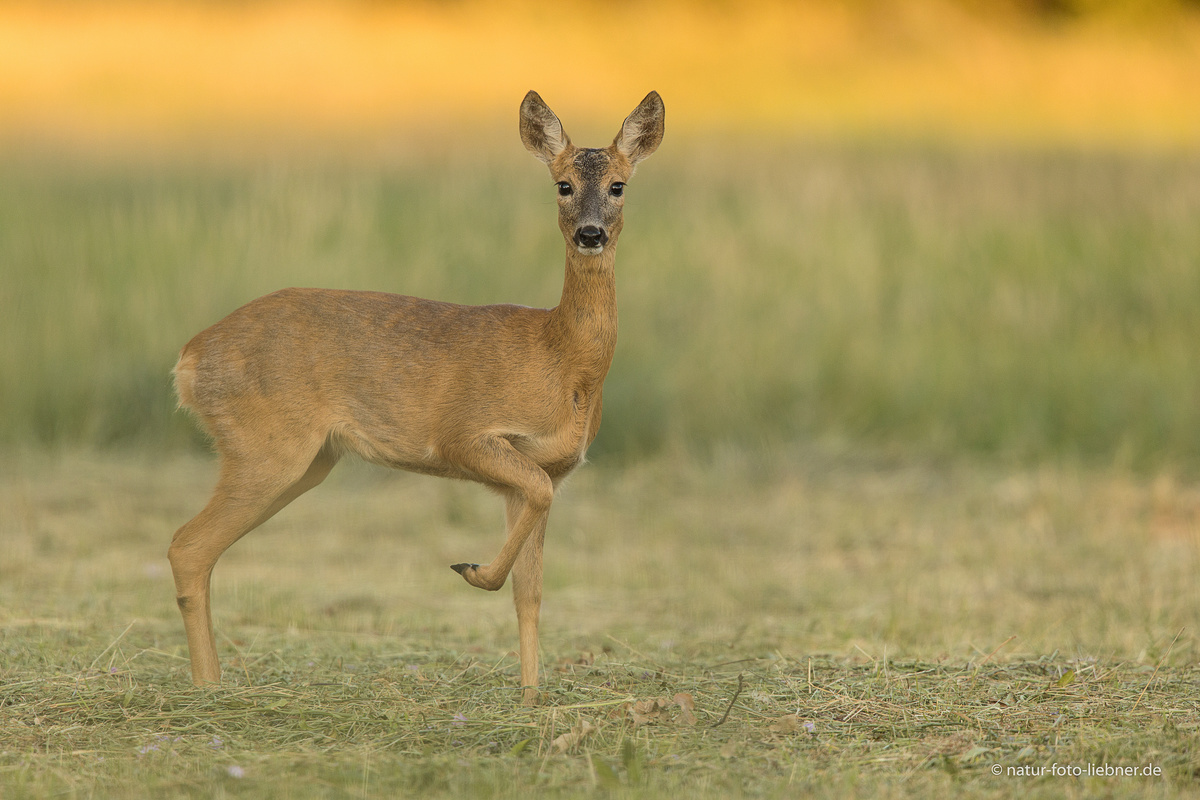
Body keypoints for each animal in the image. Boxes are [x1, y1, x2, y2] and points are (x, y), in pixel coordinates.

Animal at [169, 90, 667, 705]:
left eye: (619, 185)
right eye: (563, 184)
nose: (591, 234)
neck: (561, 360)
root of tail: (189, 358)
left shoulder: (545, 471)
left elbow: (531, 590)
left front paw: (530, 700)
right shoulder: (464, 434)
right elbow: (528, 517)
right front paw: (471, 569)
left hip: (306, 461)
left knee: (199, 549)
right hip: (265, 446)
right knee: (187, 545)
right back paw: (209, 691)